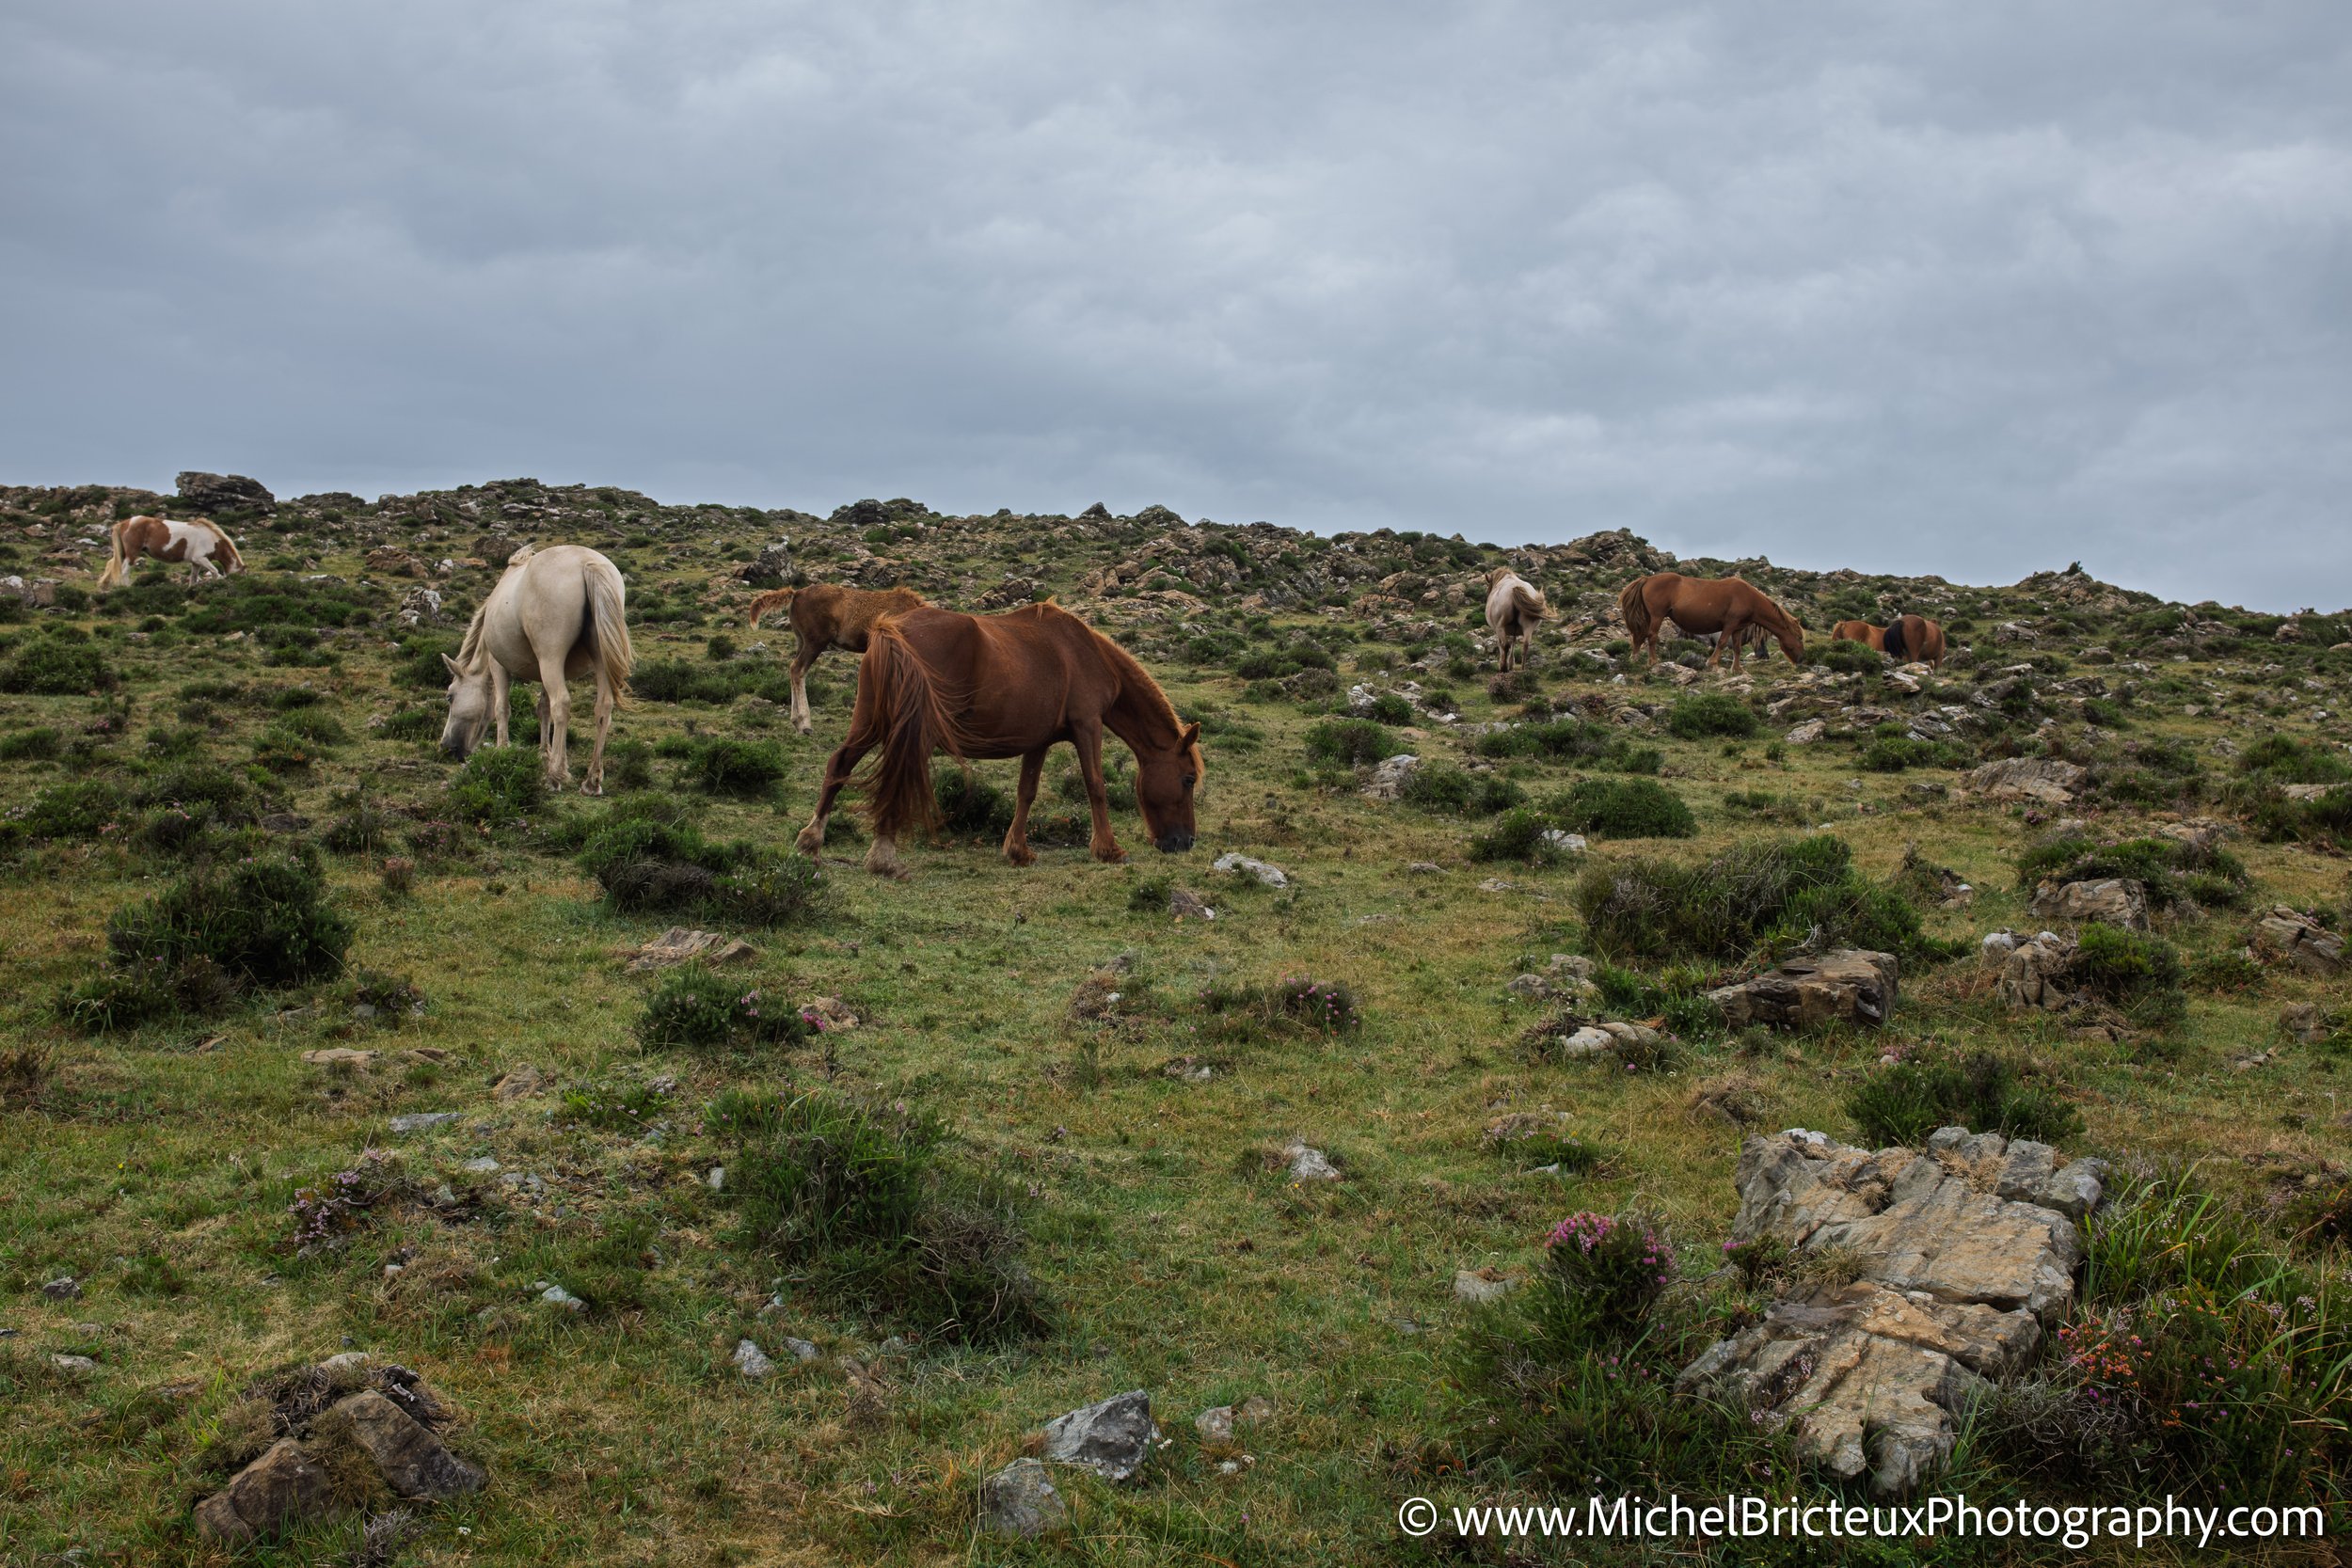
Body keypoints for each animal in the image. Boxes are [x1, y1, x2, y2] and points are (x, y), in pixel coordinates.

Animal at [95, 515, 245, 588]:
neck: (212, 539)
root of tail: (124, 523)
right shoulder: (200, 558)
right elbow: (214, 571)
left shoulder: (196, 562)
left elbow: (193, 578)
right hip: (132, 553)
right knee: (125, 570)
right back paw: (127, 588)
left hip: (123, 553)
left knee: (112, 565)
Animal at [439, 545, 633, 794]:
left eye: (450, 697)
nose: (446, 746)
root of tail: (587, 562)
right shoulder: (543, 671)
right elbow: (543, 709)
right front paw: (543, 754)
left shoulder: (498, 665)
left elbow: (502, 708)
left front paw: (503, 753)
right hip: (597, 657)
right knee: (603, 707)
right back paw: (592, 781)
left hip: (551, 657)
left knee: (561, 703)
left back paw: (555, 775)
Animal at [745, 583, 925, 733]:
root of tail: (796, 594)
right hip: (816, 642)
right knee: (797, 669)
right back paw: (804, 724)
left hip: (802, 641)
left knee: (794, 669)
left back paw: (796, 721)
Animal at [794, 601, 1203, 877]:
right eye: (1188, 779)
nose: (1185, 843)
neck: (1087, 654)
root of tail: (890, 629)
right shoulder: (1088, 725)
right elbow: (1096, 785)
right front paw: (1108, 849)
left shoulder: (1039, 741)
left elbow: (1027, 792)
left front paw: (1017, 850)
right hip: (915, 732)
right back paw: (883, 857)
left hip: (870, 723)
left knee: (840, 763)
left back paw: (812, 840)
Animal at [1618, 572, 1805, 670]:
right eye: (1799, 638)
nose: (1801, 659)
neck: (1749, 598)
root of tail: (1647, 579)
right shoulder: (1730, 624)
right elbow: (1721, 643)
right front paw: (1712, 662)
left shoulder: (1738, 629)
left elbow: (1737, 648)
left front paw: (1737, 669)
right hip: (1657, 616)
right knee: (1652, 637)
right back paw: (1652, 661)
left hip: (1648, 616)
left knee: (1639, 636)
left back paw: (1634, 659)